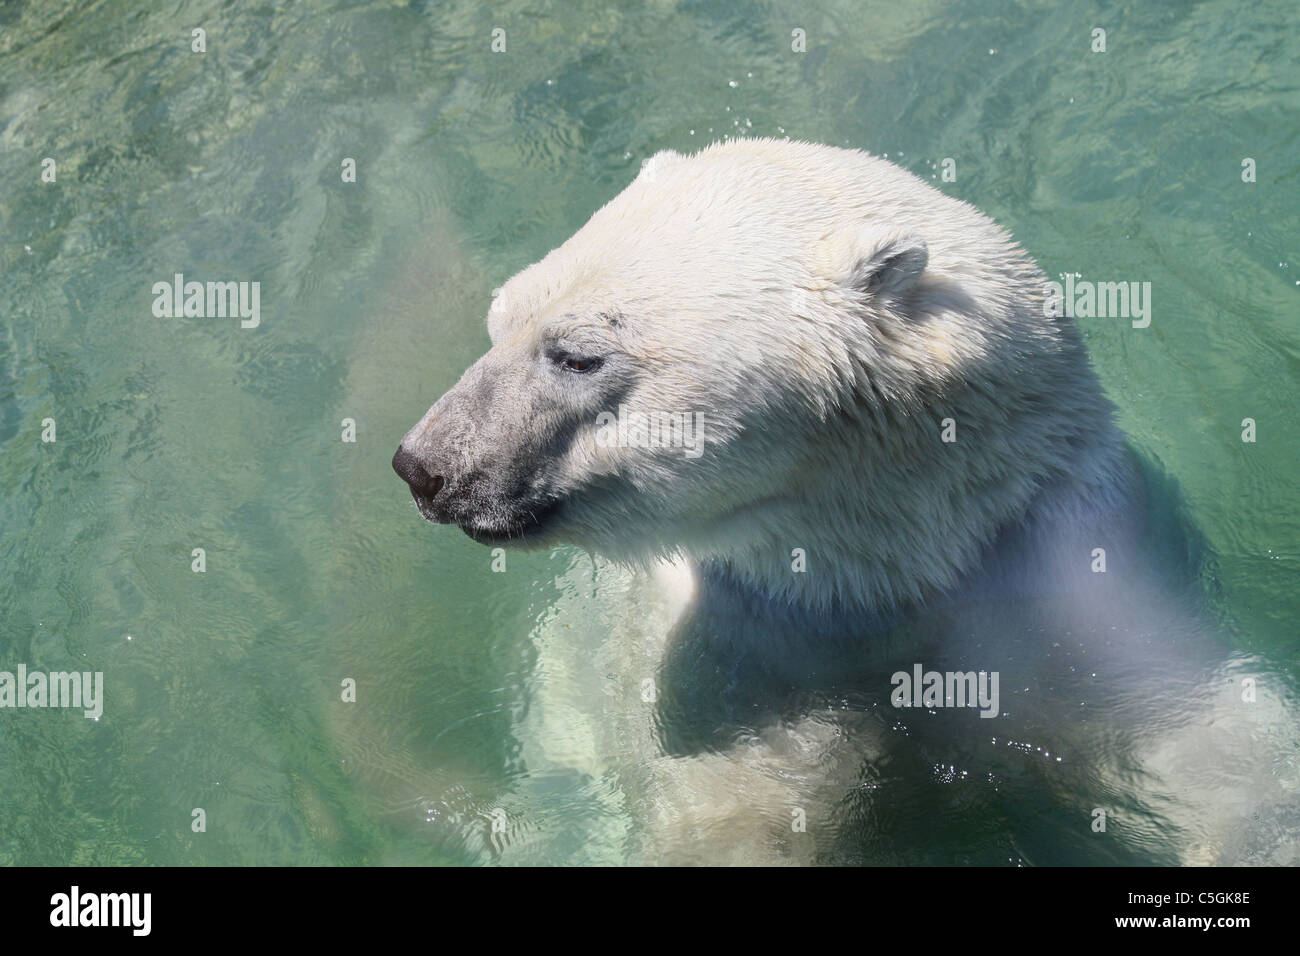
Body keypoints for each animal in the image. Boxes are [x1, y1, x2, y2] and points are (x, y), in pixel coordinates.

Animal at [390, 141, 1294, 868]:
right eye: (500, 319)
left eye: (576, 354)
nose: (423, 467)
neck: (875, 574)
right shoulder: (732, 652)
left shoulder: (1045, 567)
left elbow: (1204, 739)